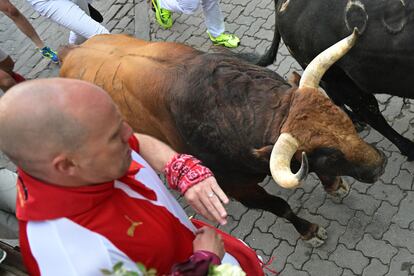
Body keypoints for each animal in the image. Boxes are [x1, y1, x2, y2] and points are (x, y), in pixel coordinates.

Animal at [59, 33, 384, 248]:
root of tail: (70, 52)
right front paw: (309, 231)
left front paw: (334, 185)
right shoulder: (237, 188)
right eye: (329, 153)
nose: (379, 165)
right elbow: (280, 206)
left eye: (345, 121)